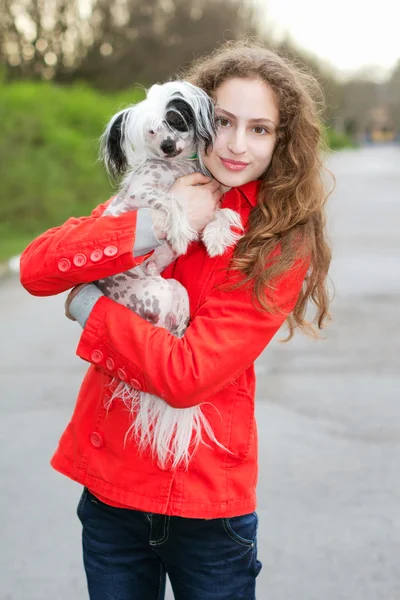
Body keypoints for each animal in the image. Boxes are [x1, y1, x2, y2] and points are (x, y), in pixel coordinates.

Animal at [96, 82, 241, 472]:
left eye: (175, 120)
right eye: (150, 131)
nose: (166, 145)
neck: (175, 167)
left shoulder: (208, 199)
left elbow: (223, 212)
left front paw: (217, 237)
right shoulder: (141, 193)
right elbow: (172, 201)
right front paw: (177, 231)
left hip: (175, 289)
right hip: (161, 292)